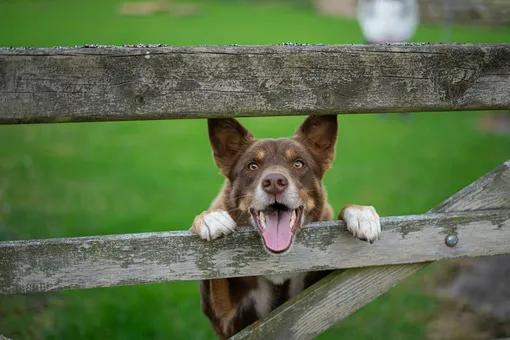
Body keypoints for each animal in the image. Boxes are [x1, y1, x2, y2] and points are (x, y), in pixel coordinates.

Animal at [189, 115, 380, 338]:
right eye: (252, 166)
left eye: (298, 164)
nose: (274, 182)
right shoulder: (226, 320)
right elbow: (215, 280)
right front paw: (210, 218)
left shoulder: (324, 286)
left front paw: (361, 213)